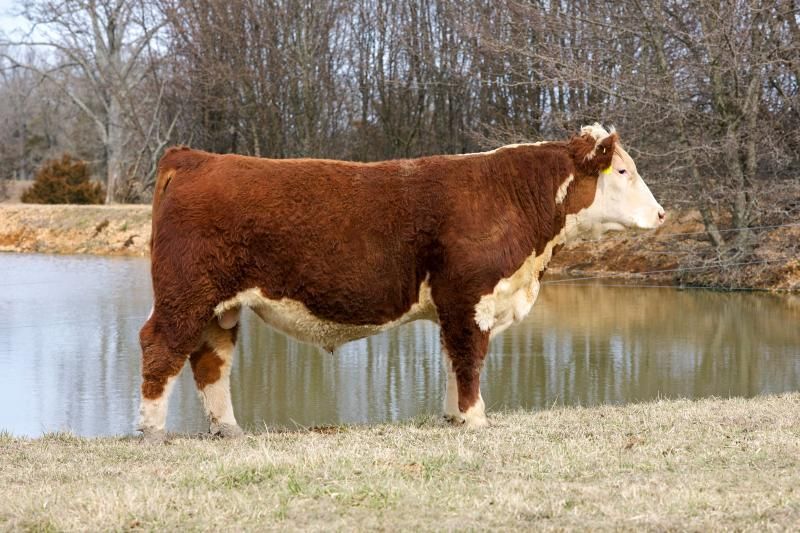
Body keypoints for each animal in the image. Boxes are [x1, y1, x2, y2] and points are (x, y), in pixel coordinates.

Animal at [137, 124, 665, 441]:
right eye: (623, 170)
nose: (661, 214)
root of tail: (195, 157)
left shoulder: (456, 306)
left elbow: (454, 360)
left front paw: (455, 417)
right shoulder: (469, 298)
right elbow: (470, 359)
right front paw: (476, 419)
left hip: (219, 307)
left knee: (211, 360)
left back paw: (227, 429)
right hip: (184, 293)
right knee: (160, 346)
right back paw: (152, 431)